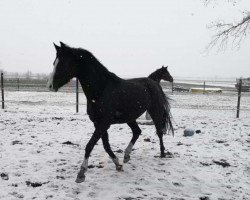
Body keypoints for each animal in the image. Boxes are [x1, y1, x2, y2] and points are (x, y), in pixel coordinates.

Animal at [47, 42, 174, 183]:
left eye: (62, 63)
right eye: (54, 63)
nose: (50, 86)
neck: (101, 89)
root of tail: (154, 83)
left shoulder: (104, 123)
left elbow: (89, 145)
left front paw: (81, 173)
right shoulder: (98, 123)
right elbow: (106, 145)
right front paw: (118, 164)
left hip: (154, 111)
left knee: (159, 131)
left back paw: (162, 154)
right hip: (130, 118)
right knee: (137, 132)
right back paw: (126, 155)